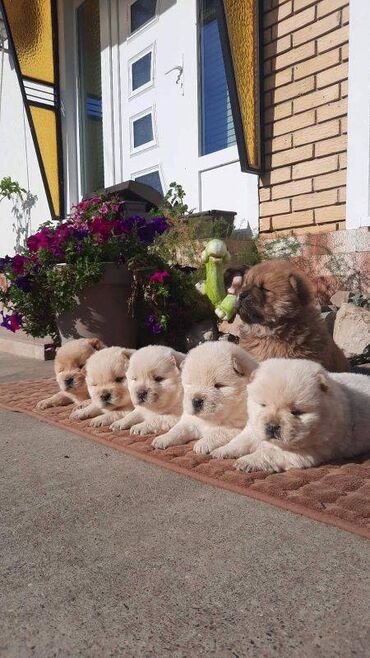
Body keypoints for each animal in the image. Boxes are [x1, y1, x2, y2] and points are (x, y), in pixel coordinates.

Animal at [212, 358, 368, 472]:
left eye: (296, 412)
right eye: (263, 405)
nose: (272, 426)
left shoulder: (306, 451)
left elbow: (268, 453)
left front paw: (247, 461)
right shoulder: (254, 427)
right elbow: (241, 441)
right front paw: (221, 451)